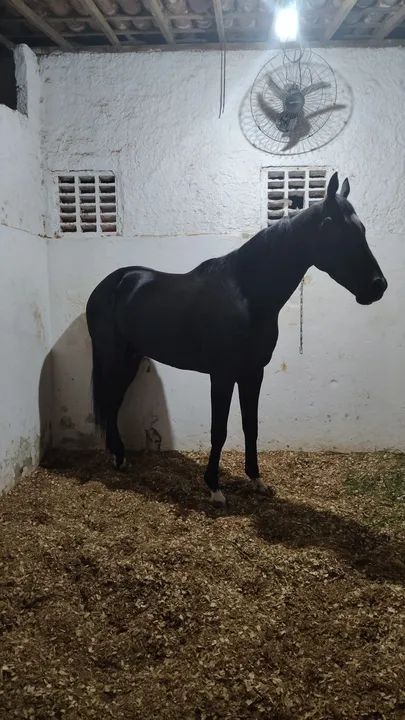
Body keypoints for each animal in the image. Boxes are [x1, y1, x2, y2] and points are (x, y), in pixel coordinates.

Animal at [86, 172, 387, 506]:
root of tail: (112, 283)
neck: (246, 294)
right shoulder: (222, 374)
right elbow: (219, 430)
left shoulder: (253, 372)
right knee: (110, 403)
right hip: (113, 358)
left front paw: (256, 480)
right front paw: (214, 488)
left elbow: (250, 425)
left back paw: (120, 458)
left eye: (362, 229)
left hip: (130, 359)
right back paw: (119, 459)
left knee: (113, 404)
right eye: (334, 227)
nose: (378, 286)